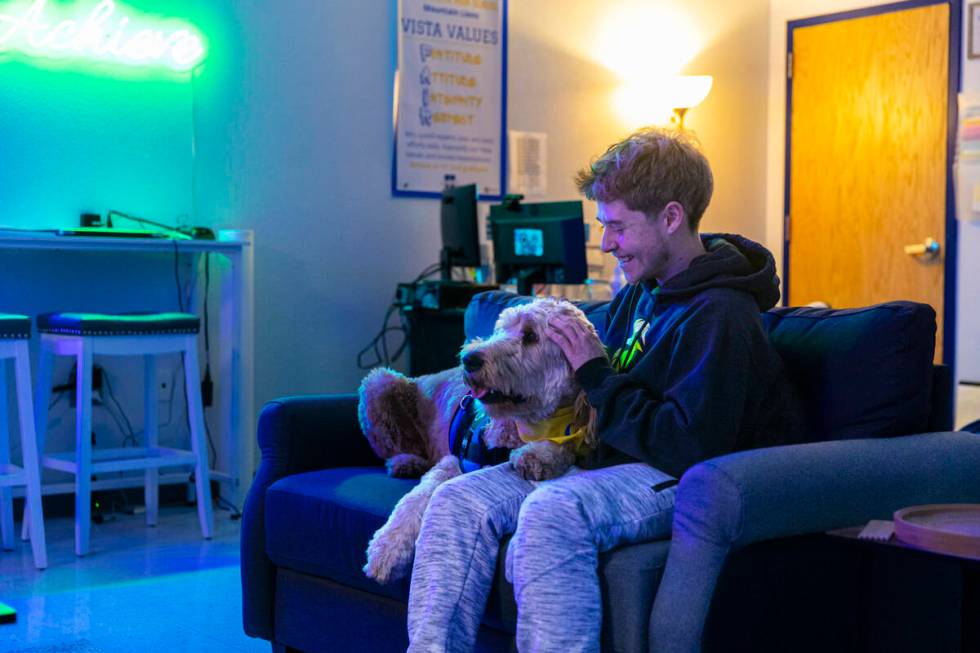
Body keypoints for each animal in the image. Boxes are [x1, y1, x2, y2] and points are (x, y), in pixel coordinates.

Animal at [362, 298, 600, 584]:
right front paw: (386, 549)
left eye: (530, 336)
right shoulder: (454, 462)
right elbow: (414, 500)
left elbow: (561, 447)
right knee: (395, 445)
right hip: (379, 382)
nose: (469, 359)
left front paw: (537, 456)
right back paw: (405, 461)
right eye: (501, 329)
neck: (528, 424)